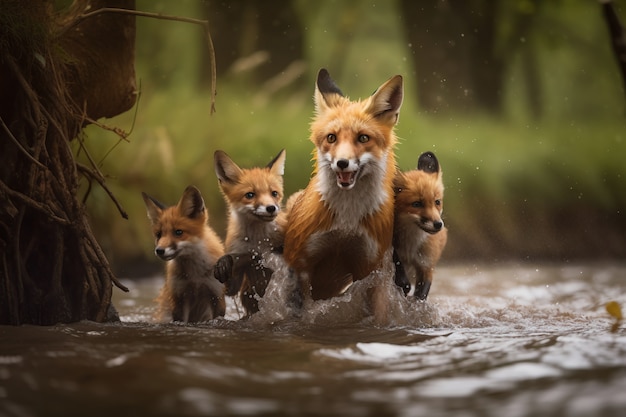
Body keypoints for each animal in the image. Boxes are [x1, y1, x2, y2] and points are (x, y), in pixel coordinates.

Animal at [140, 185, 225, 322]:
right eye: (159, 234)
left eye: (178, 232)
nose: (159, 250)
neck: (195, 276)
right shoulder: (180, 298)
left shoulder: (216, 294)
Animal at [212, 150, 286, 316]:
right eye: (250, 195)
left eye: (274, 193)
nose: (271, 208)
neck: (258, 241)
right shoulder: (240, 259)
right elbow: (230, 285)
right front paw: (224, 263)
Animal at [282, 69, 402, 306]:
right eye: (331, 138)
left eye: (363, 138)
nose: (342, 163)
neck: (347, 220)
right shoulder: (301, 263)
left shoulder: (369, 267)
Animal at [392, 151, 446, 300]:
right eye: (417, 204)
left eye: (437, 202)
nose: (438, 224)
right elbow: (397, 262)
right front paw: (403, 283)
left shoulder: (426, 265)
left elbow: (421, 294)